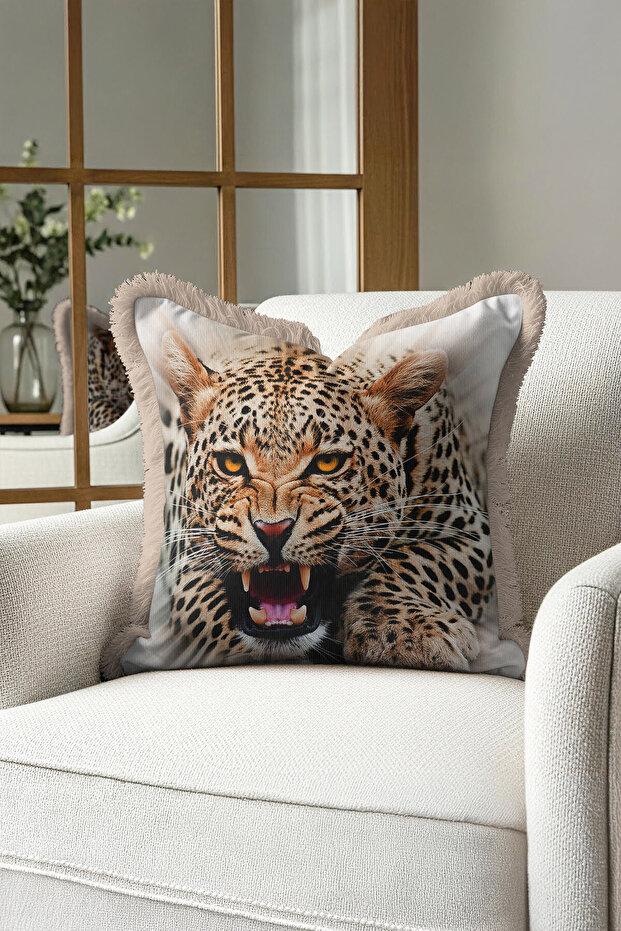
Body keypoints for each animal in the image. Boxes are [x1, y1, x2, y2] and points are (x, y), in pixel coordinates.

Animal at [153, 330, 494, 672]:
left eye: (328, 464)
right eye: (231, 464)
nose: (272, 530)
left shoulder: (471, 530)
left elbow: (416, 561)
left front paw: (402, 632)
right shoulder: (185, 554)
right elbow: (208, 617)